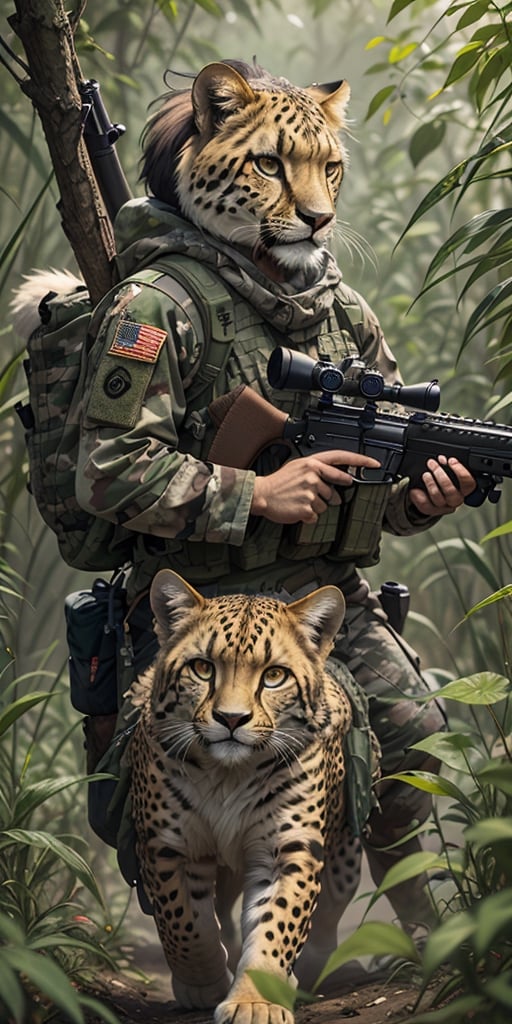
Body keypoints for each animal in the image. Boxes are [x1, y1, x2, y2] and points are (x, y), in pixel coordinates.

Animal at [127, 569, 368, 1024]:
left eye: (274, 676)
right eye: (202, 668)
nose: (231, 719)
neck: (229, 775)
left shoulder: (288, 849)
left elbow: (277, 925)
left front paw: (256, 1002)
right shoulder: (167, 846)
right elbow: (185, 924)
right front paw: (203, 986)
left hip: (345, 857)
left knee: (329, 911)